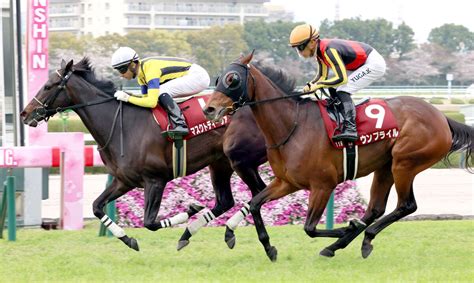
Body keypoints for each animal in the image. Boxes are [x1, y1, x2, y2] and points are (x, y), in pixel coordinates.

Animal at [20, 57, 268, 251]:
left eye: (49, 85)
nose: (25, 113)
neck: (122, 126)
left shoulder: (155, 180)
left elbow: (149, 222)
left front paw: (188, 210)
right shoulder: (124, 181)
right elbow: (97, 207)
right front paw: (128, 239)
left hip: (243, 159)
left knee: (259, 191)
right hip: (220, 163)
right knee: (227, 200)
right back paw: (198, 233)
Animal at [202, 52, 472, 262]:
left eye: (232, 79)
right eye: (218, 78)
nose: (209, 109)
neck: (293, 125)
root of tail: (442, 117)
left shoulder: (323, 185)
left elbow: (310, 228)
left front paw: (345, 228)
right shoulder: (286, 182)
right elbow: (255, 203)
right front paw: (264, 246)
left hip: (404, 163)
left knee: (406, 205)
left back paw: (357, 237)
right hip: (385, 166)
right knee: (375, 209)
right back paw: (351, 241)